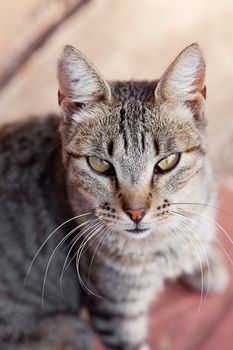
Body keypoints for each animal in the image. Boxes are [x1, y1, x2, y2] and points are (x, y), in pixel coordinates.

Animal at [0, 43, 229, 350]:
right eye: (99, 165)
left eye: (167, 162)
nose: (136, 212)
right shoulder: (115, 311)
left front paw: (205, 263)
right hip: (73, 330)